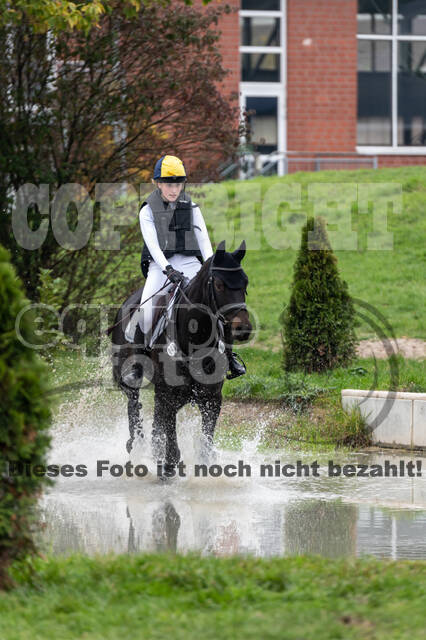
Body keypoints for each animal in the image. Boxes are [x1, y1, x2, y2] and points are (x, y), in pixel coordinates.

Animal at [110, 240, 252, 475]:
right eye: (219, 285)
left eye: (245, 283)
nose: (244, 330)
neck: (195, 338)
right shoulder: (169, 395)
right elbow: (172, 448)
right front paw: (166, 468)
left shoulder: (211, 398)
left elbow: (205, 447)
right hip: (131, 378)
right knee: (134, 405)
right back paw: (136, 446)